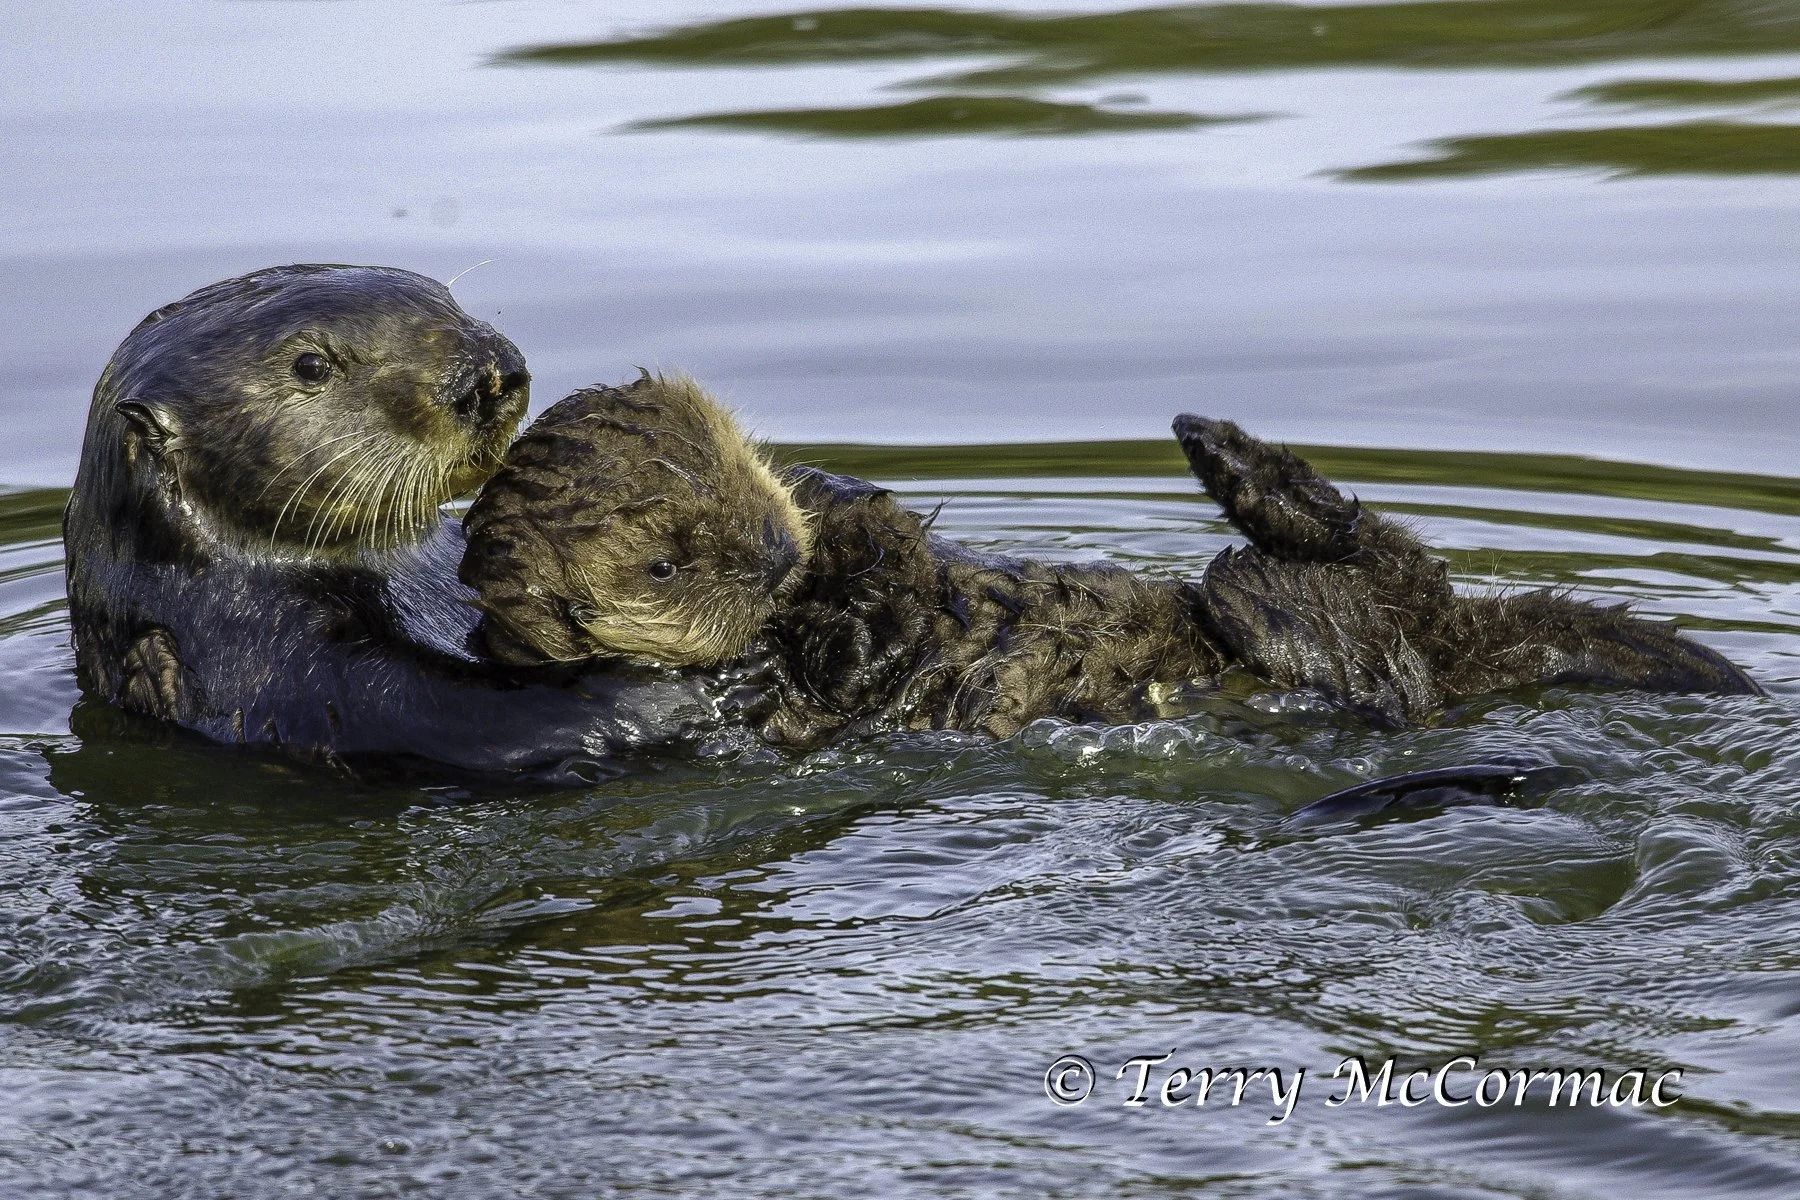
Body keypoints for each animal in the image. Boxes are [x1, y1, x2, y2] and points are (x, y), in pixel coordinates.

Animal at [64, 266, 773, 771]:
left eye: (446, 301)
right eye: (312, 365)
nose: (488, 377)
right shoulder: (258, 647)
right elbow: (437, 714)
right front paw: (687, 692)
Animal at [465, 382, 1760, 746]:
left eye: (735, 461)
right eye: (666, 568)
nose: (776, 549)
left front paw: (839, 507)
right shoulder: (789, 696)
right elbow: (849, 647)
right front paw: (844, 564)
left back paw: (1218, 450)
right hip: (1379, 648)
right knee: (1382, 648)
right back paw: (1261, 564)